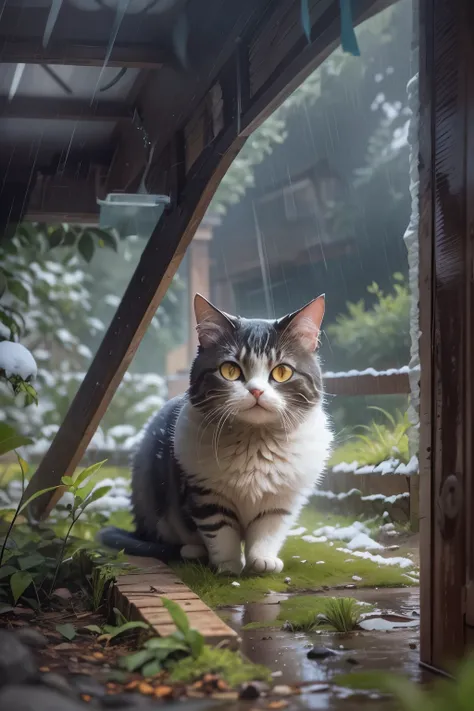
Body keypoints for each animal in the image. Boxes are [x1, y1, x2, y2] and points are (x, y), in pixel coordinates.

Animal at [99, 292, 334, 576]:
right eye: (230, 370)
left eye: (282, 371)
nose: (256, 391)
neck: (254, 443)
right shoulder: (205, 494)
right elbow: (221, 532)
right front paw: (228, 565)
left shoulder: (282, 499)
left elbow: (267, 531)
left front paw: (262, 561)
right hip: (149, 493)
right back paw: (192, 551)